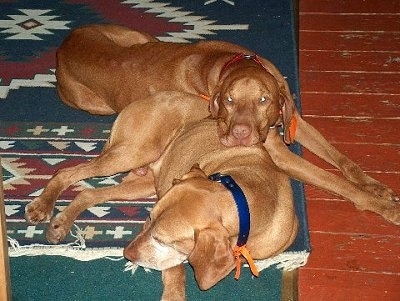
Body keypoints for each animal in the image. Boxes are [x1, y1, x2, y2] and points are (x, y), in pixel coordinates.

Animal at [54, 24, 398, 220]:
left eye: (264, 100)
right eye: (229, 101)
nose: (241, 134)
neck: (225, 65)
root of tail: (66, 43)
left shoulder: (294, 120)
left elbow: (343, 161)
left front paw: (377, 187)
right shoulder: (280, 154)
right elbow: (335, 181)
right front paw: (383, 207)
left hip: (144, 38)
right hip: (93, 104)